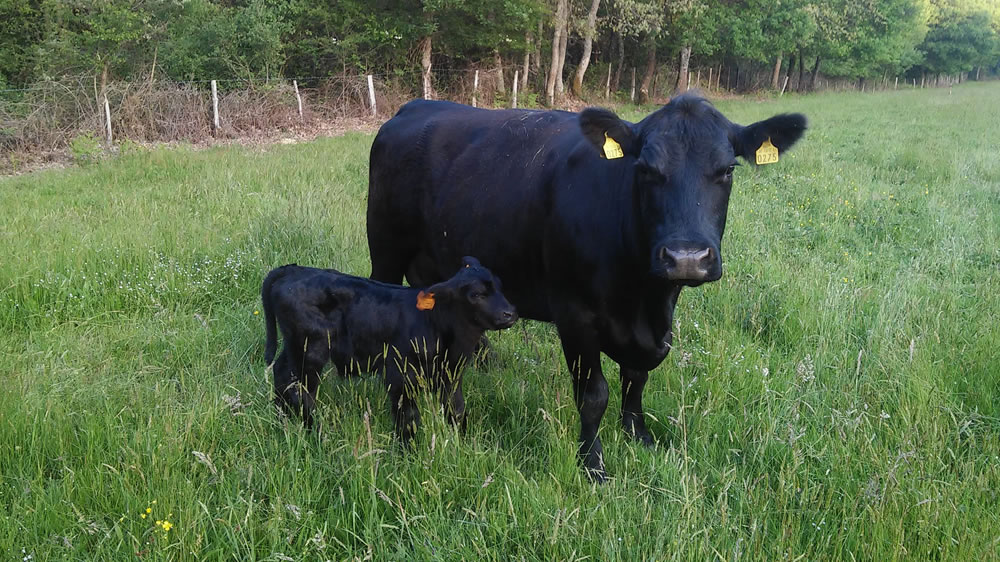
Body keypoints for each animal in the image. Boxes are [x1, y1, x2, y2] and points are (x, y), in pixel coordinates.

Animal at [260, 255, 516, 442]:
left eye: (501, 288)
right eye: (477, 295)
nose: (510, 313)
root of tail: (293, 270)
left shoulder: (451, 376)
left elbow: (456, 409)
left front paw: (462, 441)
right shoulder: (400, 375)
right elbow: (408, 417)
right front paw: (407, 449)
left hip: (294, 346)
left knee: (282, 374)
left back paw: (281, 415)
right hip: (310, 350)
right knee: (302, 390)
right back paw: (315, 429)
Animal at [368, 94, 804, 480]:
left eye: (728, 170)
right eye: (645, 169)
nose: (686, 258)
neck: (642, 299)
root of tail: (415, 106)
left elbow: (637, 378)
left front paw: (638, 436)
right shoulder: (574, 314)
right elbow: (594, 396)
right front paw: (592, 463)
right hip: (385, 249)